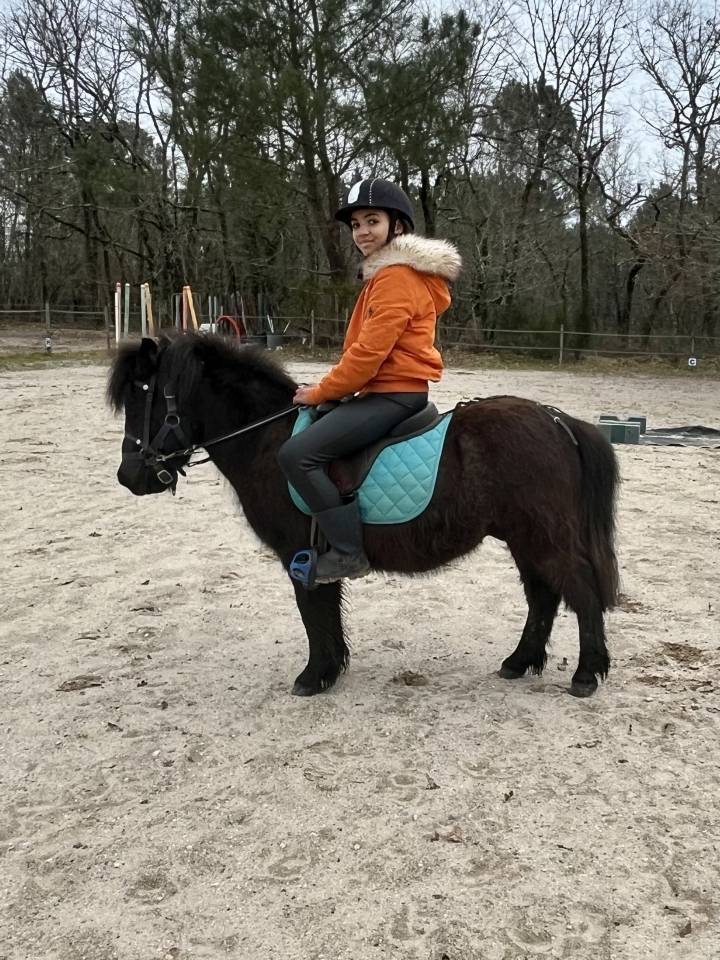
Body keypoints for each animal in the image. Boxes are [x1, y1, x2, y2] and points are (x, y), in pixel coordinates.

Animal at [107, 333, 620, 699]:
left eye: (145, 394)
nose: (130, 476)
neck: (268, 438)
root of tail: (556, 419)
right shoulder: (315, 557)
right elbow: (325, 613)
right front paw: (331, 669)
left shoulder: (300, 554)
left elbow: (312, 613)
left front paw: (314, 676)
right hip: (523, 537)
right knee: (542, 596)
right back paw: (519, 661)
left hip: (542, 536)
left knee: (580, 592)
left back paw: (586, 674)